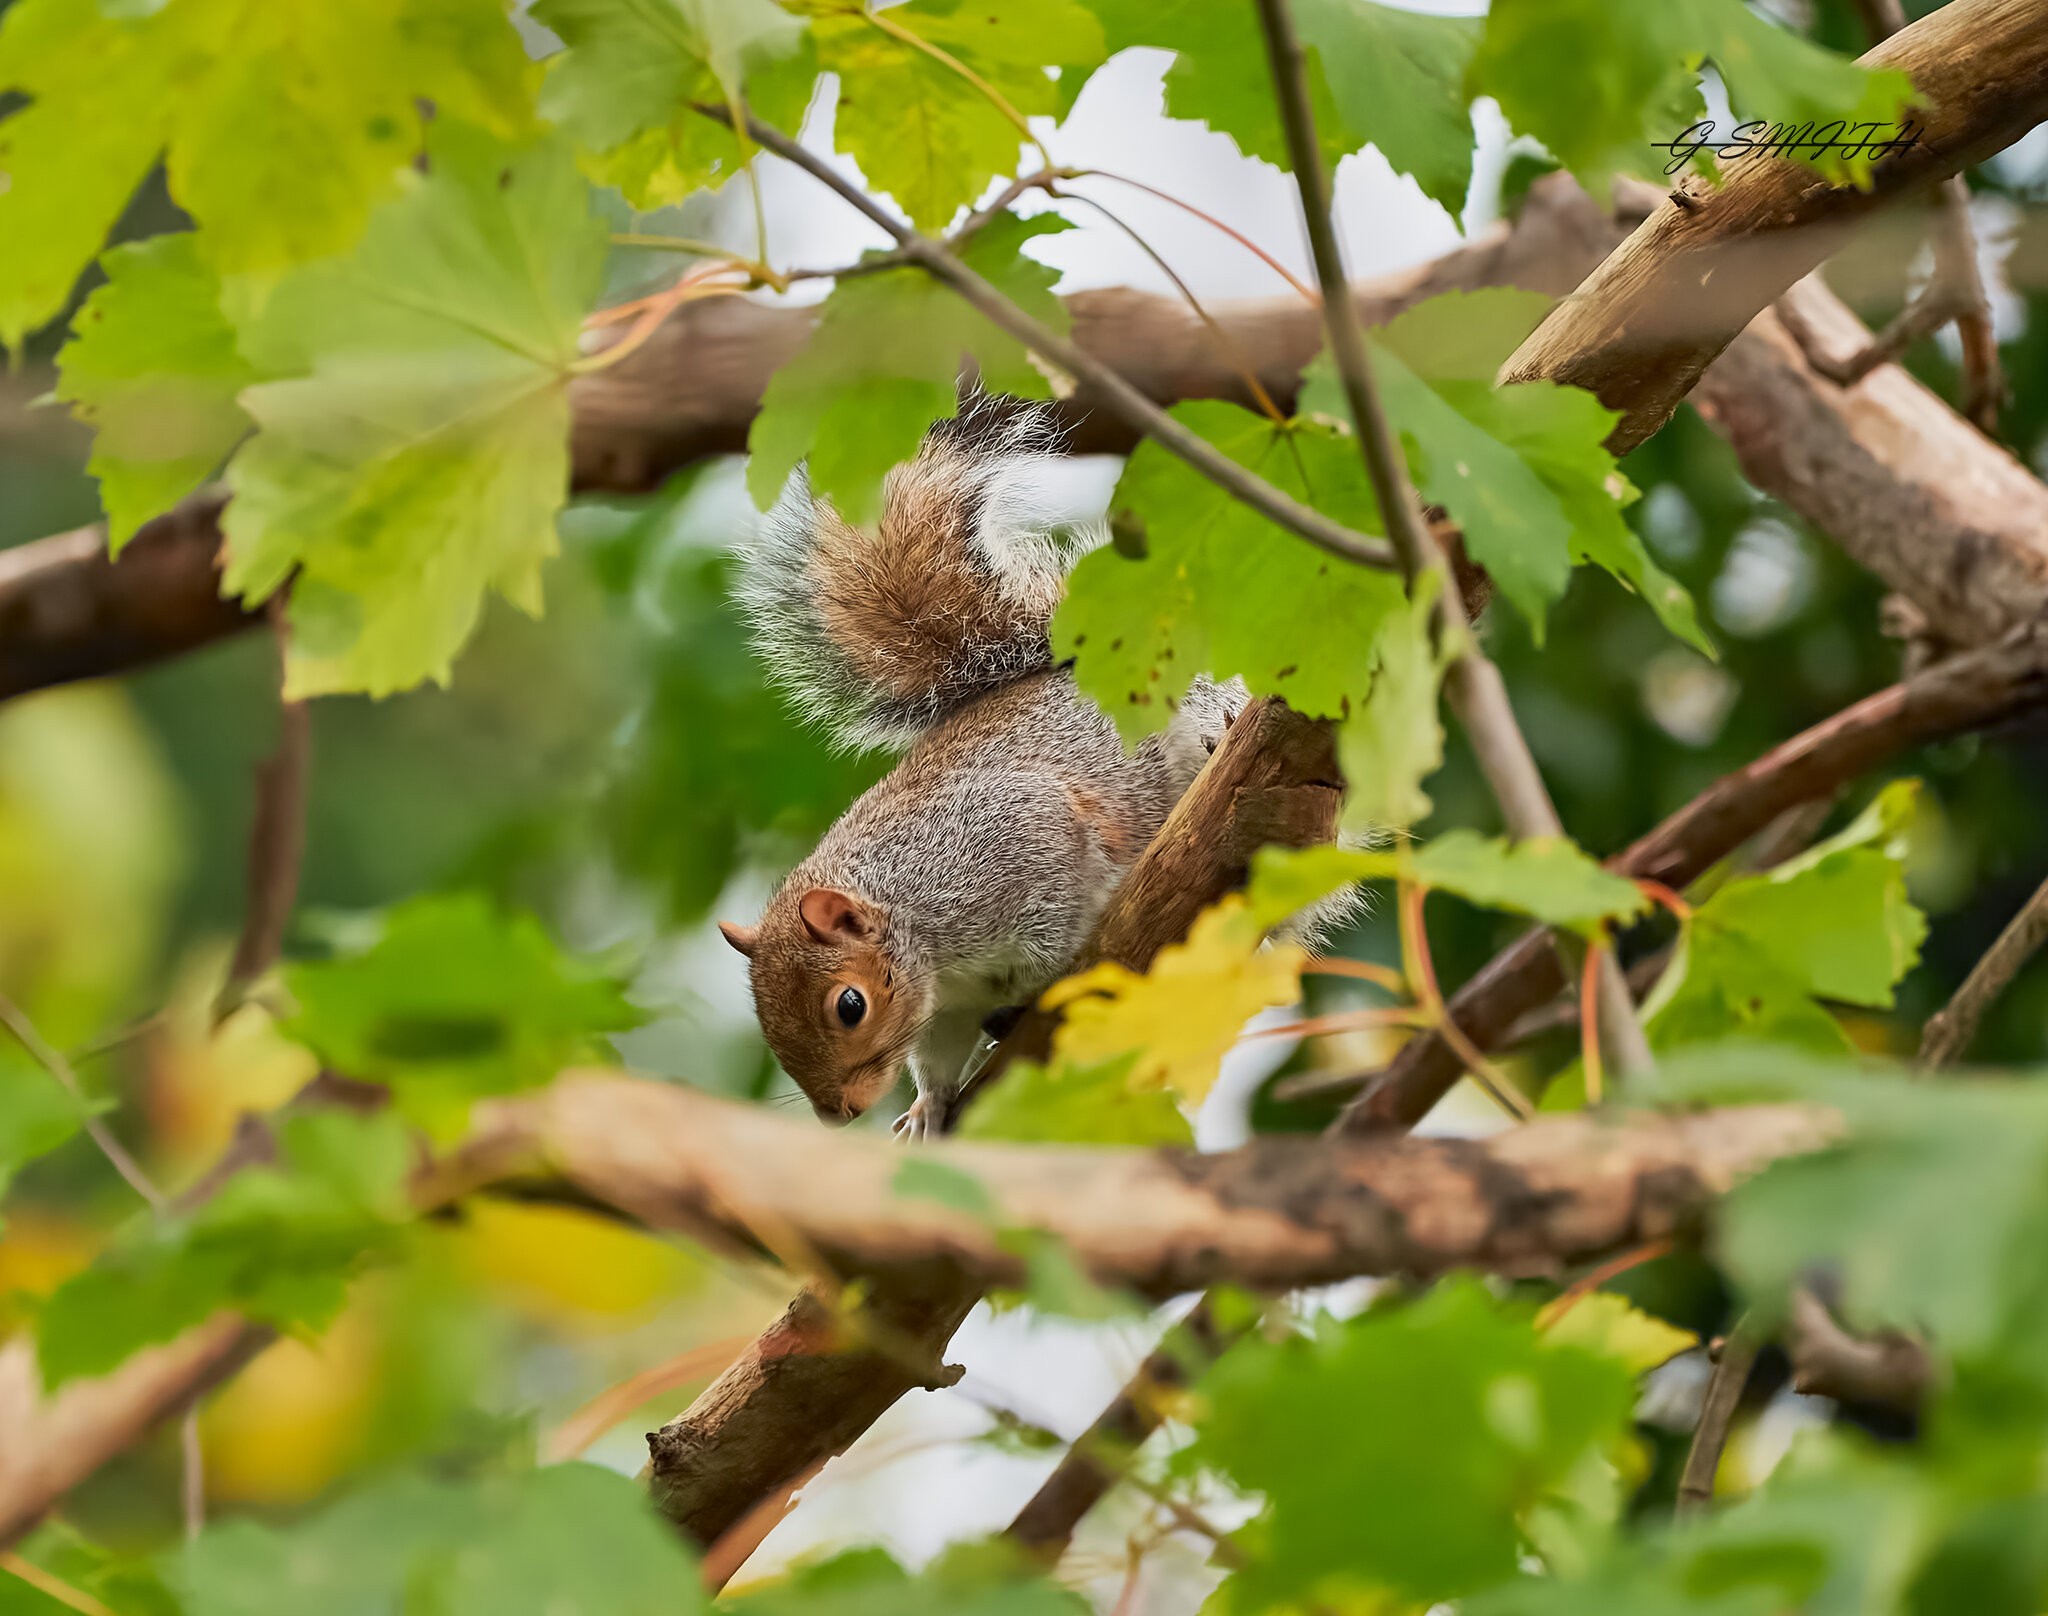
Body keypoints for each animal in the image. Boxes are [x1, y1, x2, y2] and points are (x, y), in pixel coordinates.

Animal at [718, 401, 1244, 1138]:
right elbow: (937, 1057)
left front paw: (1029, 996)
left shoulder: (1021, 855)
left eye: (849, 1005)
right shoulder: (942, 1008)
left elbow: (1054, 941)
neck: (920, 926)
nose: (838, 1114)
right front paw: (927, 1107)